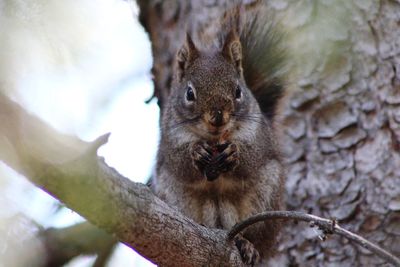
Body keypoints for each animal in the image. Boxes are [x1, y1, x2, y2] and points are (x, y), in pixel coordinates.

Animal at [152, 6, 286, 267]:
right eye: (189, 93)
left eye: (238, 91)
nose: (217, 117)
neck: (214, 139)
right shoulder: (169, 138)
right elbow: (179, 162)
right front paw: (196, 152)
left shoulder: (259, 136)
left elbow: (252, 158)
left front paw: (235, 153)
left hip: (264, 203)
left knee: (252, 235)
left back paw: (247, 244)